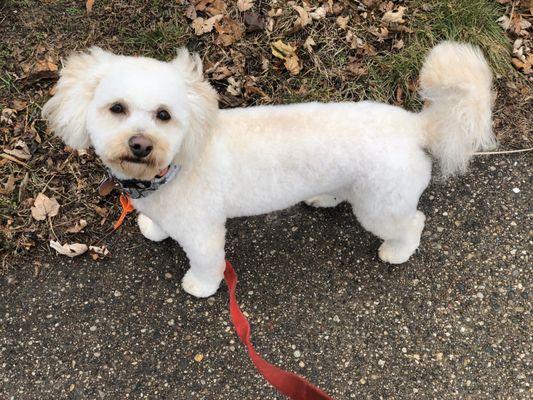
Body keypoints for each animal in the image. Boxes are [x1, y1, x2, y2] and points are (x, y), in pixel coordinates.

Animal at [41, 41, 494, 296]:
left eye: (164, 115)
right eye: (117, 108)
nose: (140, 144)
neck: (169, 170)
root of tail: (416, 126)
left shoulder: (203, 231)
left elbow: (207, 262)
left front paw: (200, 287)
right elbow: (159, 225)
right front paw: (154, 228)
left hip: (381, 204)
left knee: (412, 223)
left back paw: (397, 252)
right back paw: (323, 198)